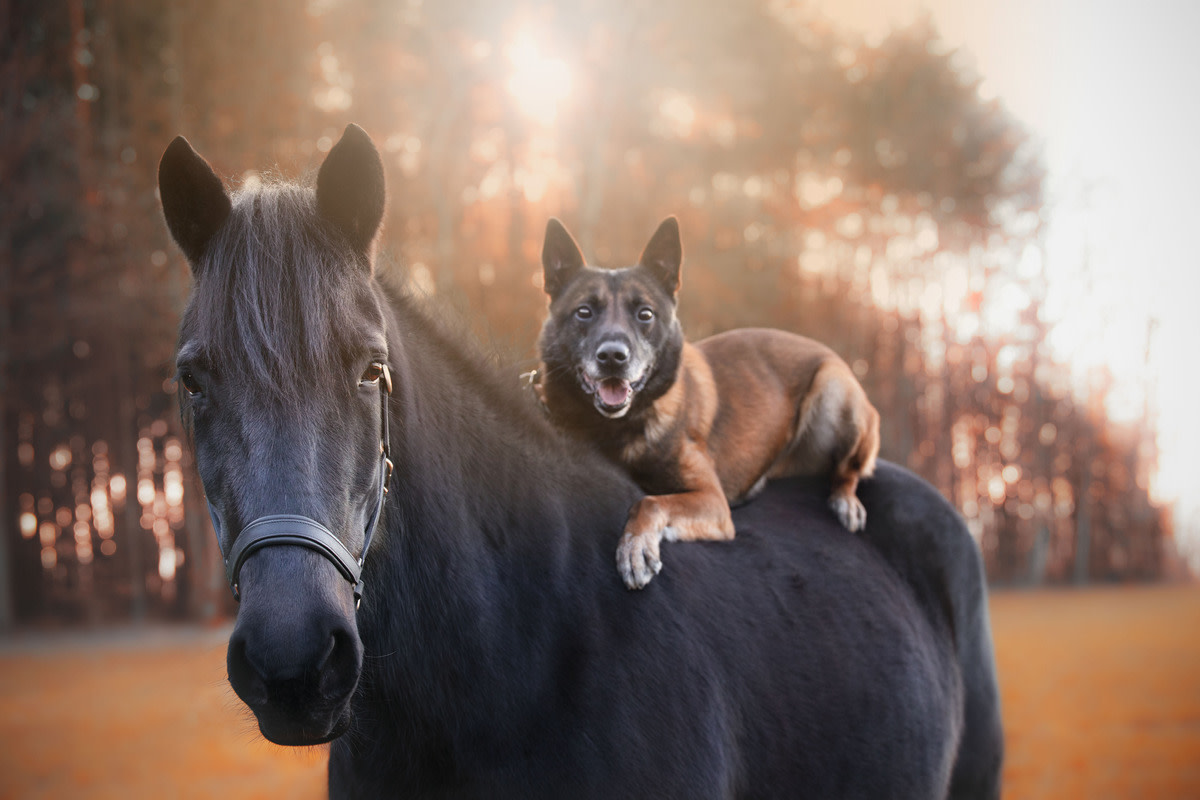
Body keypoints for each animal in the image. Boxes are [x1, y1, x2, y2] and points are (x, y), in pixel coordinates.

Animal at [535, 217, 883, 587]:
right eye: (583, 312)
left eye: (645, 314)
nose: (613, 357)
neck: (614, 427)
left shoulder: (712, 501)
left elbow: (650, 502)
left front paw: (635, 544)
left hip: (834, 389)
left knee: (848, 470)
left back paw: (845, 501)